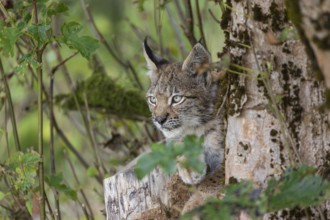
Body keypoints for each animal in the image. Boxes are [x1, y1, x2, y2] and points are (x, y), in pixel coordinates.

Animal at [143, 39, 223, 184]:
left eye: (177, 99)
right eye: (153, 100)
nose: (159, 120)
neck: (195, 127)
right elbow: (177, 143)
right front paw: (189, 164)